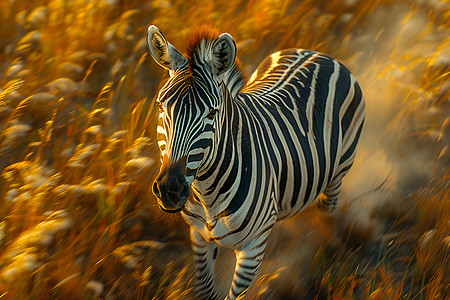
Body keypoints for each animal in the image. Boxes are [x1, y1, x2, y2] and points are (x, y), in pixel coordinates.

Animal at [148, 24, 366, 298]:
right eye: (160, 107)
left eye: (212, 113)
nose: (170, 190)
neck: (207, 194)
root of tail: (320, 55)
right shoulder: (198, 236)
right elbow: (206, 289)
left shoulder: (253, 248)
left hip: (337, 175)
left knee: (327, 216)